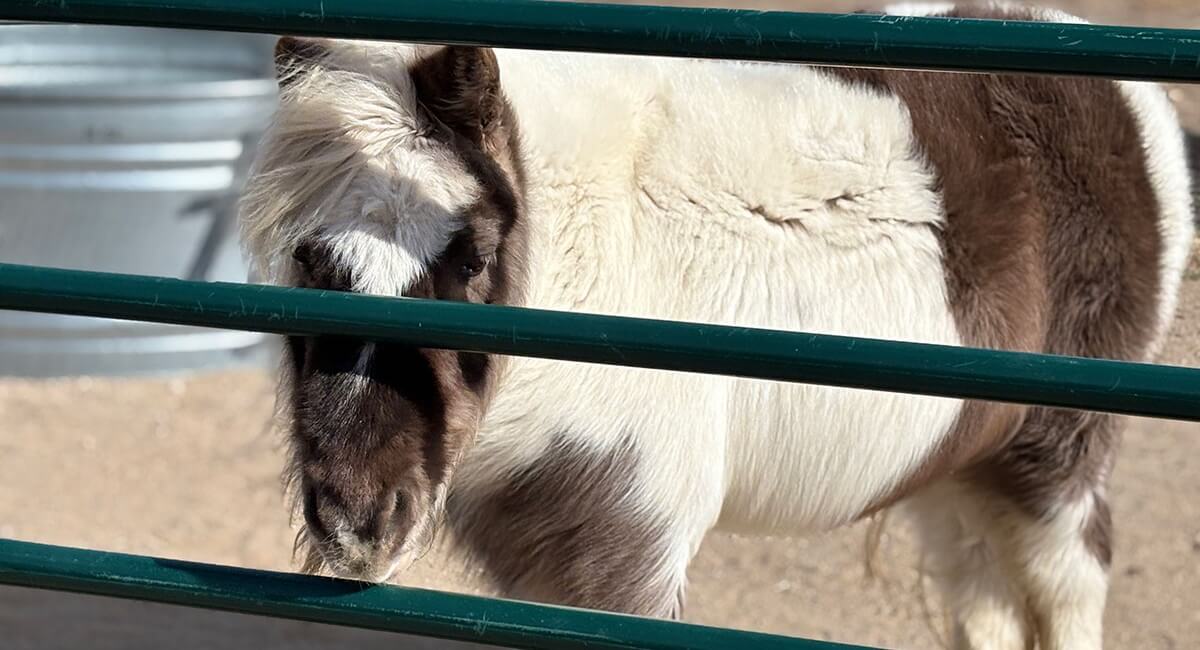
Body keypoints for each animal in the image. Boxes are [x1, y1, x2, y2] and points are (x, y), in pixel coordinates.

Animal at [237, 3, 1197, 648]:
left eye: (472, 257)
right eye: (309, 262)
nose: (358, 522)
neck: (585, 263)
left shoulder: (626, 551)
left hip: (1056, 454)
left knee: (1067, 584)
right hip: (959, 461)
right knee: (984, 593)